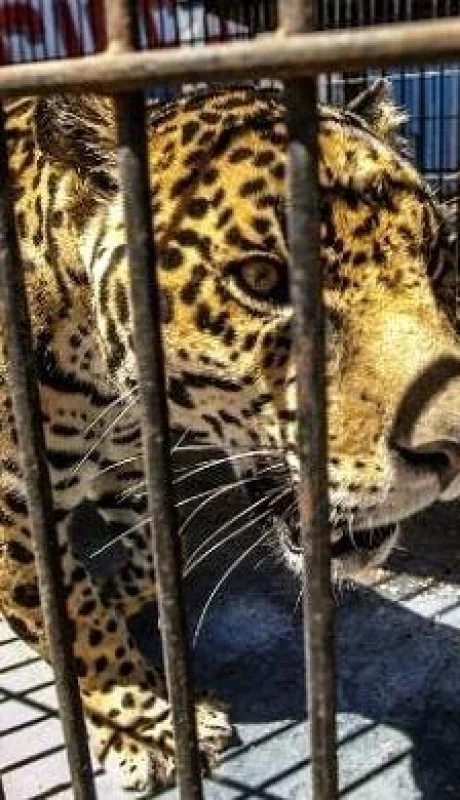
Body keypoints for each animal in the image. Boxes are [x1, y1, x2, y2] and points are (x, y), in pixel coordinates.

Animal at [1, 79, 459, 793]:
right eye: (264, 280)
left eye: (435, 257)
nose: (453, 450)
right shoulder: (11, 504)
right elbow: (71, 614)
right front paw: (145, 722)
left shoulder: (128, 470)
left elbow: (155, 557)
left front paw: (120, 606)